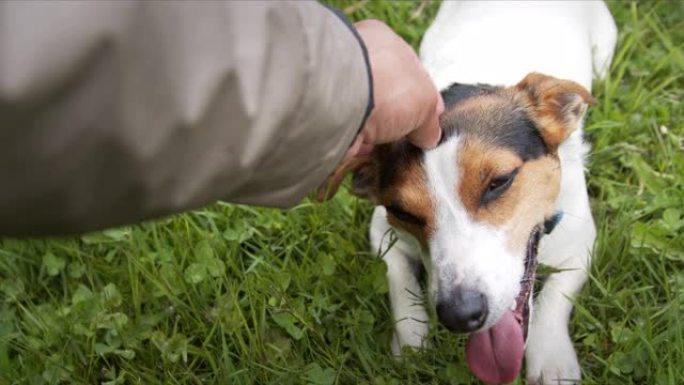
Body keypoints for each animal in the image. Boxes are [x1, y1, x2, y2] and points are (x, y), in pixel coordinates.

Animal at [324, 1, 616, 382]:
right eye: (402, 212)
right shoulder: (382, 231)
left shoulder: (581, 245)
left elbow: (556, 298)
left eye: (499, 181)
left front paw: (551, 358)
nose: (460, 315)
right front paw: (411, 336)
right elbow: (397, 277)